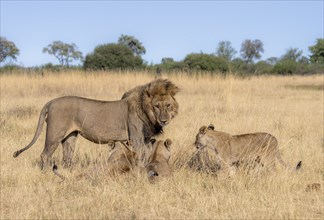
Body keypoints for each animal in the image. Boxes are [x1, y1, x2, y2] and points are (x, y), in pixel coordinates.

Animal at [13, 79, 180, 170]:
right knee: (45, 155)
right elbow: (141, 157)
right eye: (157, 106)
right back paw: (46, 172)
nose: (164, 120)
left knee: (67, 156)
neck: (148, 113)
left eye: (168, 105)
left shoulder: (146, 140)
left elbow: (148, 156)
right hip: (54, 134)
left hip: (70, 137)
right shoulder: (136, 140)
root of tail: (51, 101)